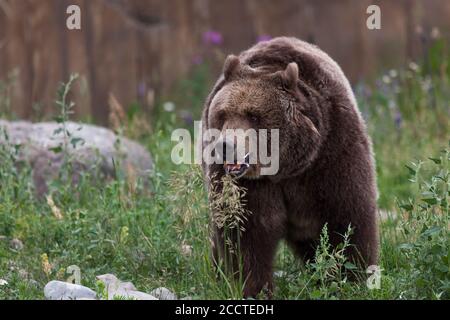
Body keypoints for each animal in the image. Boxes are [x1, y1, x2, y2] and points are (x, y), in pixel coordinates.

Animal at [202, 37, 378, 298]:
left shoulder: (331, 154)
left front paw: (351, 277)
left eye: (253, 116)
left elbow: (347, 215)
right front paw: (253, 287)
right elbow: (246, 233)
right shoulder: (248, 185)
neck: (285, 167)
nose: (226, 146)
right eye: (223, 114)